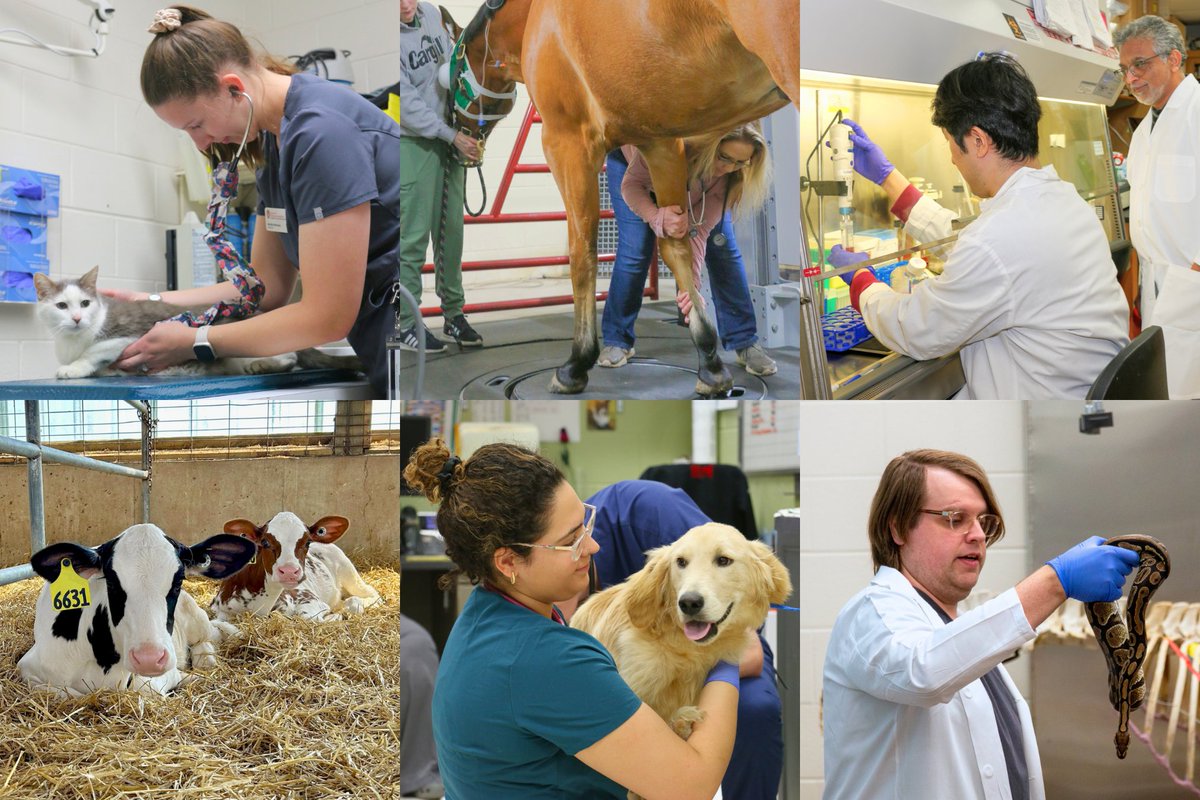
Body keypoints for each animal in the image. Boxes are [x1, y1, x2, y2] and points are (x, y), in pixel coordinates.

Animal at [17, 522, 256, 695]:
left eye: (179, 580)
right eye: (111, 581)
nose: (149, 658)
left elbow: (145, 687)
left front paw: (186, 677)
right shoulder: (28, 668)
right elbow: (65, 694)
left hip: (195, 615)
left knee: (207, 637)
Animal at [34, 267, 300, 381]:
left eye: (85, 303)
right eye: (61, 306)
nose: (77, 318)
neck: (72, 341)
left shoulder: (131, 334)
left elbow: (93, 352)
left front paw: (73, 368)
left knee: (291, 357)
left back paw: (264, 365)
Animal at [211, 513, 379, 623]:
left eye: (307, 542)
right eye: (265, 542)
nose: (289, 571)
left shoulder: (310, 599)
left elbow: (307, 616)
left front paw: (336, 615)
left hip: (349, 572)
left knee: (370, 594)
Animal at [439, 0, 796, 393]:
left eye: (451, 76)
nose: (458, 139)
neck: (535, 14)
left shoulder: (567, 141)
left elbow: (582, 252)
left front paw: (576, 363)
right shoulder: (661, 143)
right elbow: (676, 246)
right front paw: (710, 360)